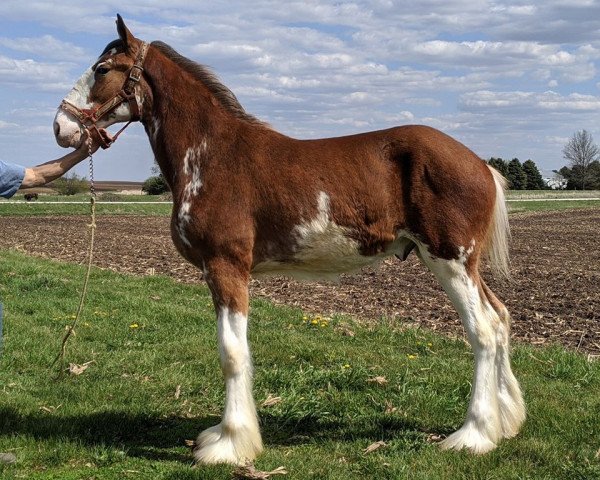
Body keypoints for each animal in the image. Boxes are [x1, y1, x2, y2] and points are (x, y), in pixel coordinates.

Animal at [54, 15, 528, 464]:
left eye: (102, 69)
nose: (60, 127)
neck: (211, 154)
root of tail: (481, 165)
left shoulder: (227, 268)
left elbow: (232, 353)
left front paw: (230, 444)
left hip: (449, 259)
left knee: (484, 331)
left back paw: (473, 435)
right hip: (463, 265)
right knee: (501, 317)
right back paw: (506, 422)